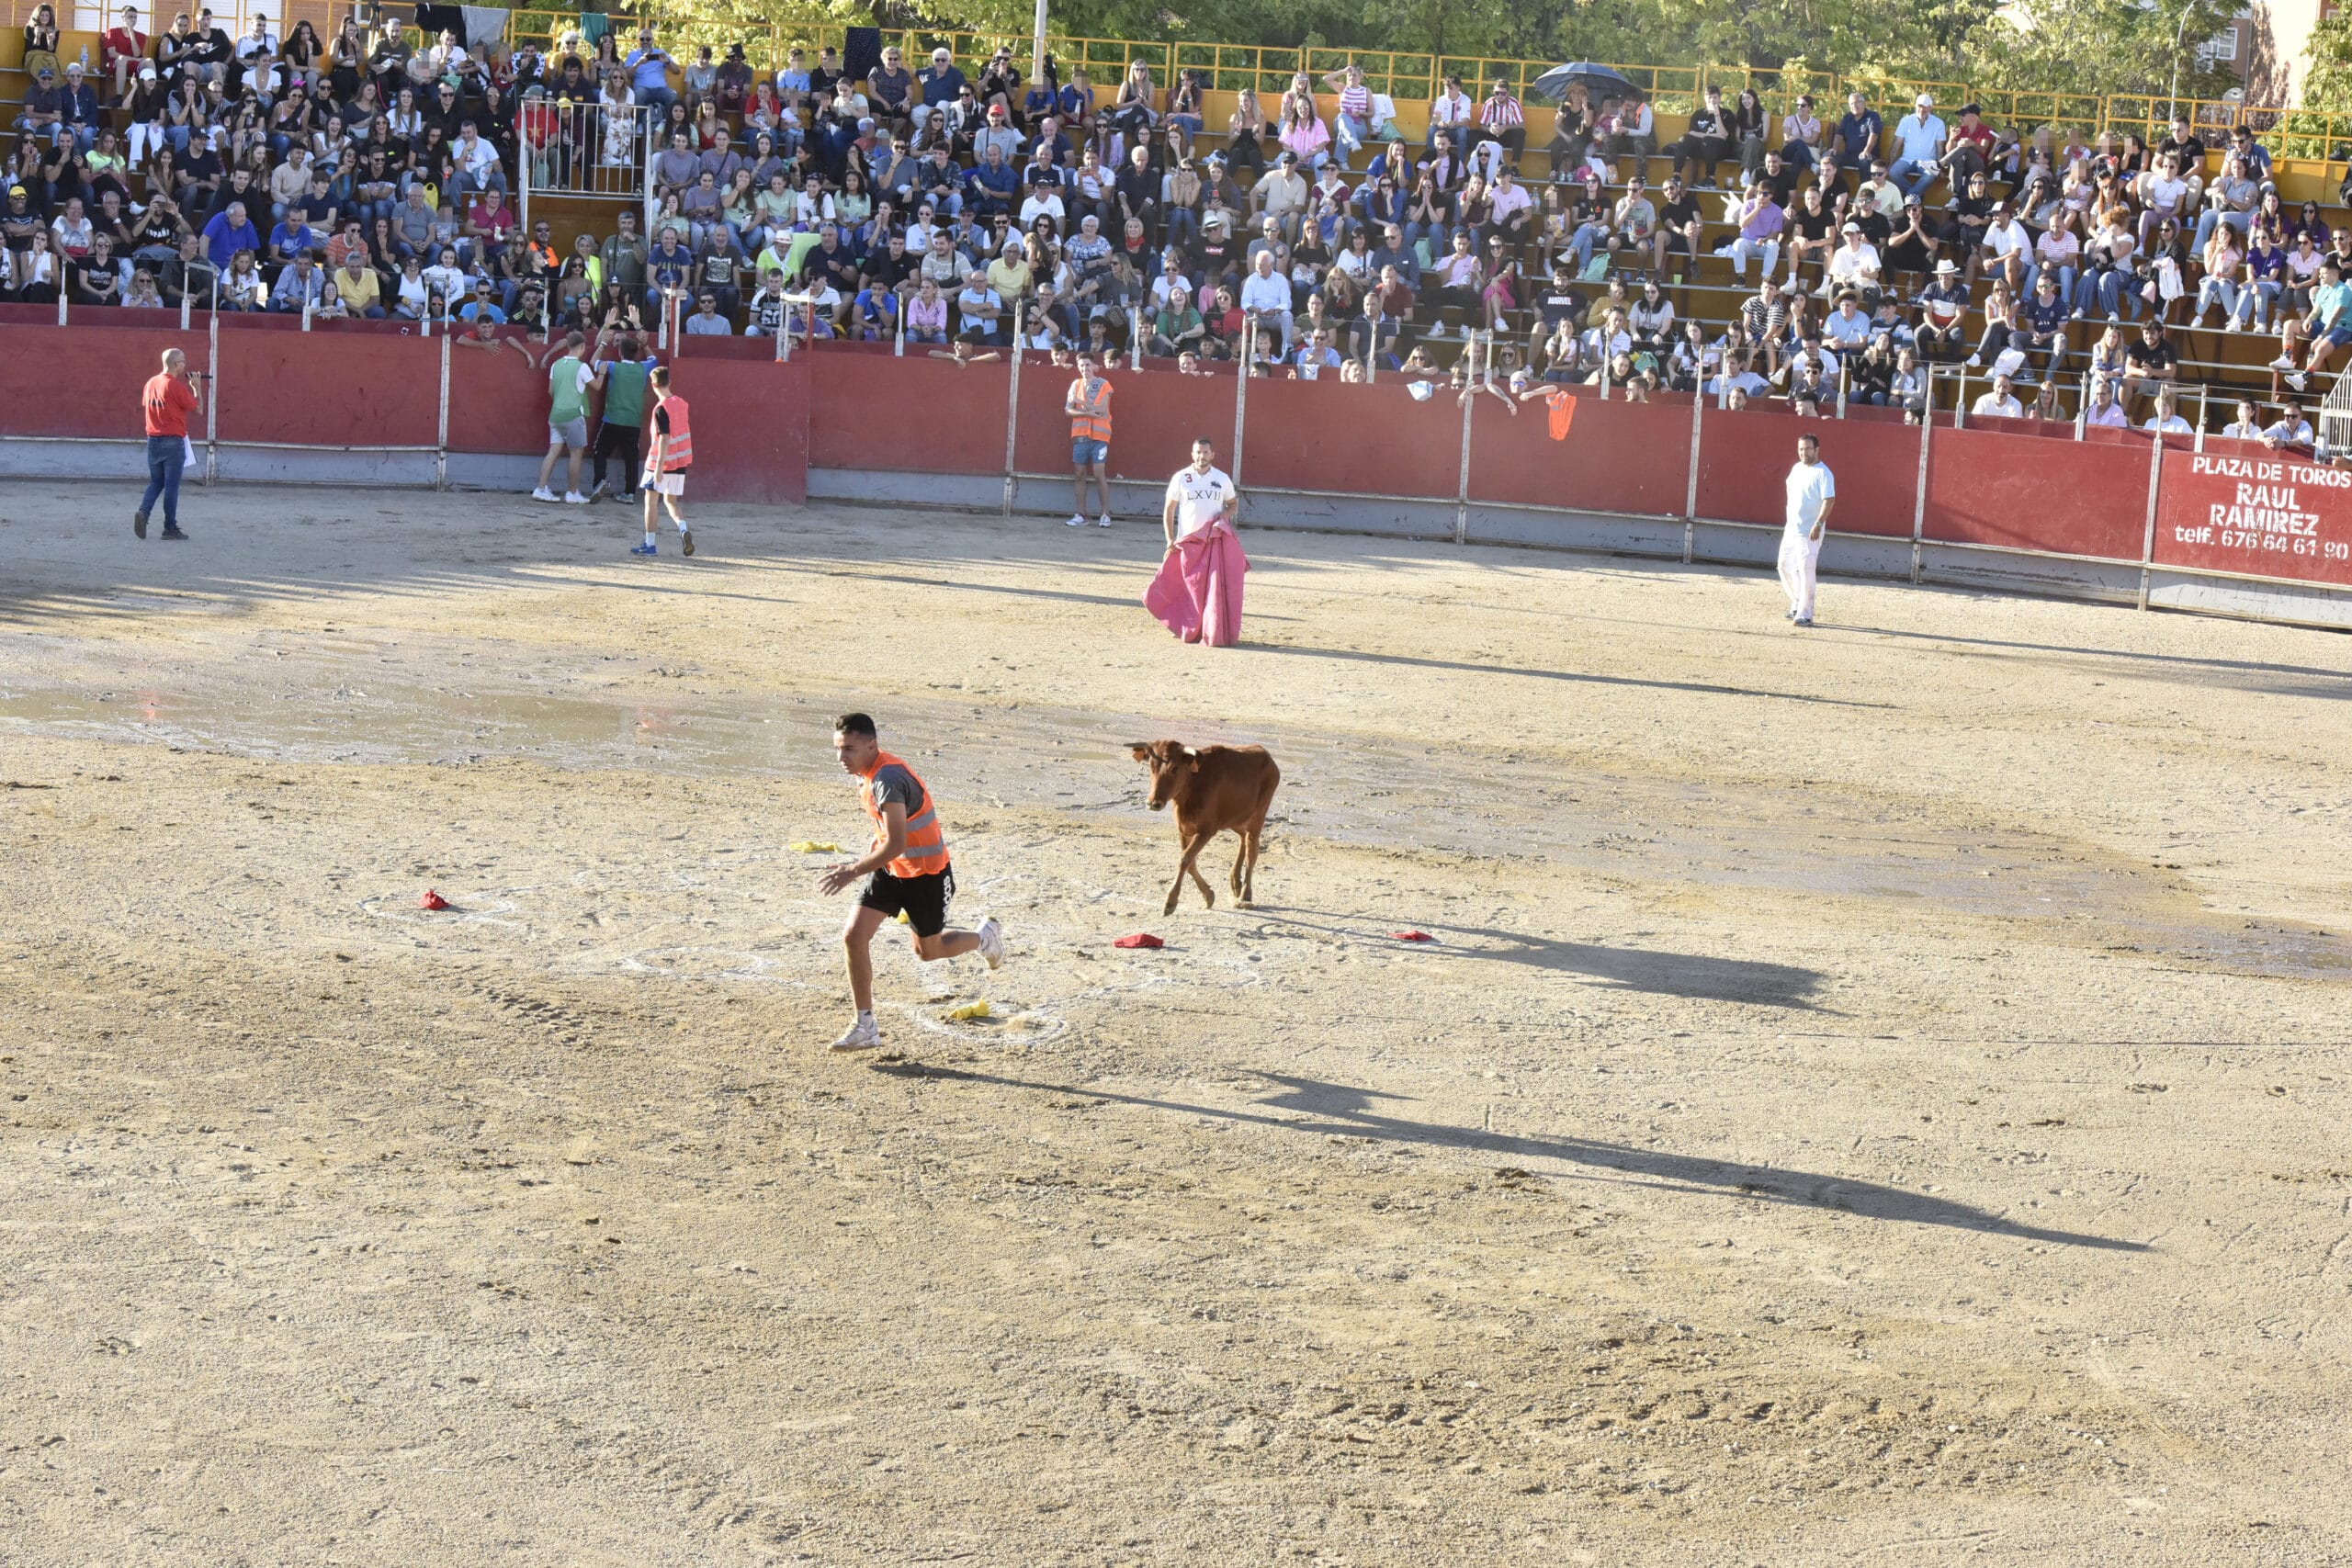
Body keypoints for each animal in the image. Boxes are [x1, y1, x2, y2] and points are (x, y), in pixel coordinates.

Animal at [1127, 740, 1281, 915]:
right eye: (1151, 766)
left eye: (1174, 768)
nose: (1153, 803)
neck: (1192, 786)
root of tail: (1267, 755)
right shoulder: (1184, 829)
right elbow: (1190, 863)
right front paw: (1208, 896)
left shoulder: (1206, 830)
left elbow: (1184, 859)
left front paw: (1170, 902)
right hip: (1234, 818)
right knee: (1243, 838)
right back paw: (1235, 882)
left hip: (1258, 817)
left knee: (1252, 850)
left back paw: (1245, 895)